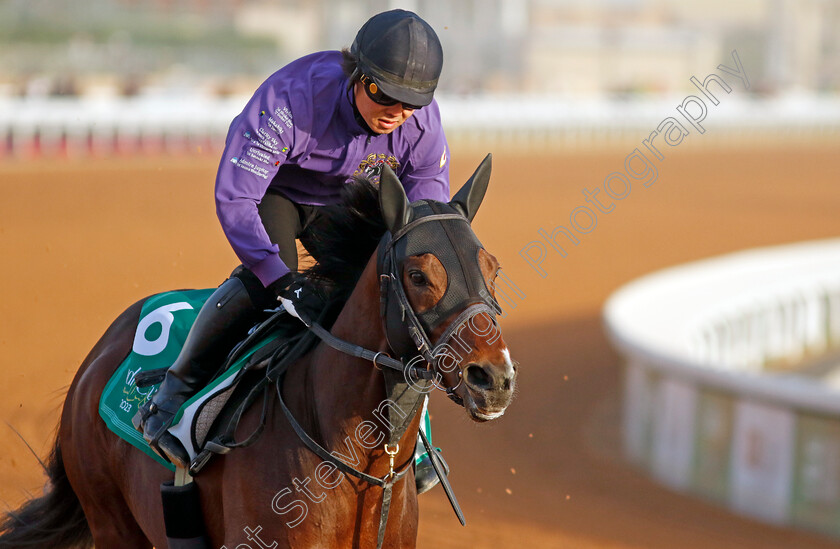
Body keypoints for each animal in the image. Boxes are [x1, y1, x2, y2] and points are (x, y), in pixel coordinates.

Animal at [0, 155, 516, 548]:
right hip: (111, 522)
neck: (361, 468)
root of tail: (97, 358)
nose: (494, 379)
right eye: (419, 275)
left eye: (492, 268)